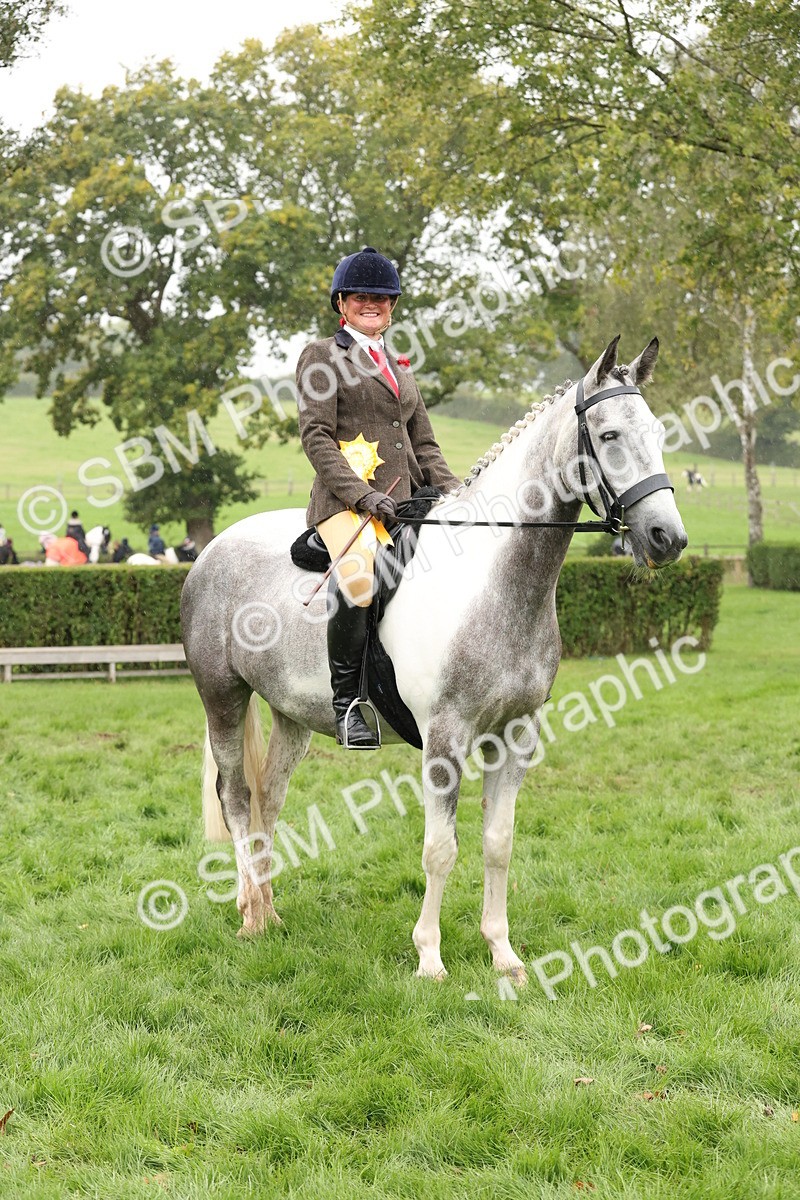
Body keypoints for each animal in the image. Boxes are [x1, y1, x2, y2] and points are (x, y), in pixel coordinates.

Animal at [181, 336, 687, 983]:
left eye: (657, 430)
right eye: (609, 434)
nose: (666, 538)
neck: (494, 581)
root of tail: (213, 549)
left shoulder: (517, 734)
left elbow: (499, 842)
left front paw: (504, 955)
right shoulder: (446, 738)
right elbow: (441, 849)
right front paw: (429, 958)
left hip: (291, 711)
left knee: (269, 796)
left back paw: (268, 913)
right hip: (222, 697)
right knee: (238, 798)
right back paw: (249, 915)